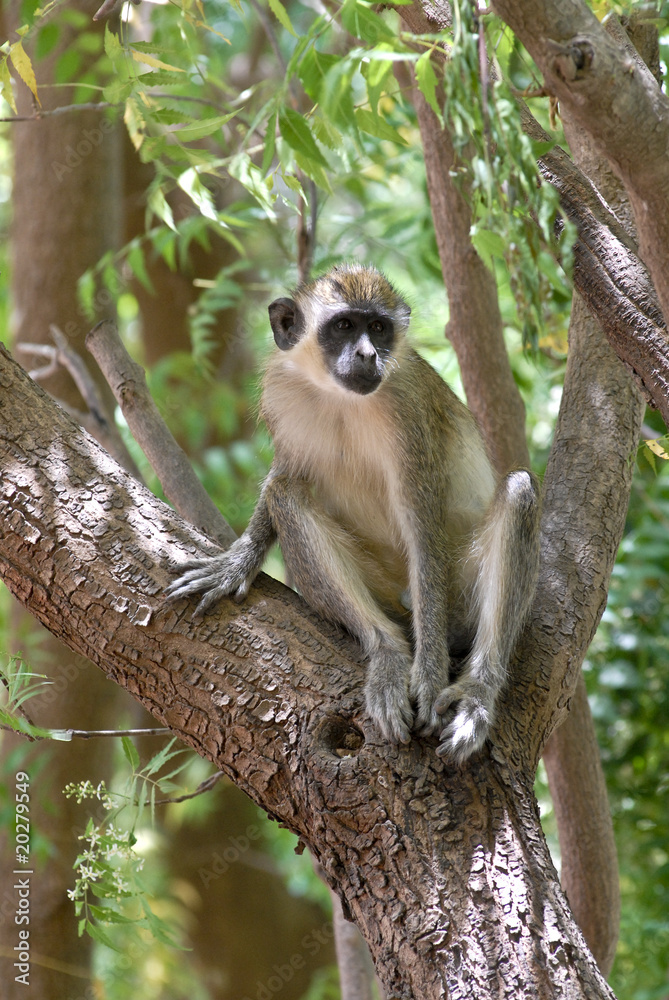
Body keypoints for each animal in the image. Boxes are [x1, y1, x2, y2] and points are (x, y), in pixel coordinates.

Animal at [165, 263, 540, 762]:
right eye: (344, 325)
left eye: (378, 328)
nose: (367, 354)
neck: (339, 397)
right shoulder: (282, 396)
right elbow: (285, 473)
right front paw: (237, 562)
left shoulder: (408, 415)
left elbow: (422, 527)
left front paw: (429, 677)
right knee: (287, 494)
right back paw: (389, 654)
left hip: (458, 597)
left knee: (518, 493)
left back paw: (476, 693)